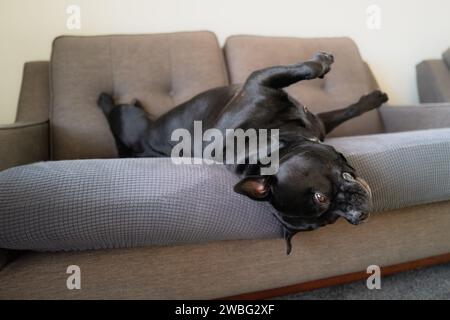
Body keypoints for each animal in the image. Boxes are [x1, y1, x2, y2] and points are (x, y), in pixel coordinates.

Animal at [97, 52, 386, 254]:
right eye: (322, 201)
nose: (358, 215)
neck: (270, 142)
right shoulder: (260, 80)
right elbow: (308, 68)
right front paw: (323, 61)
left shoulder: (307, 114)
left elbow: (347, 110)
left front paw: (374, 99)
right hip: (130, 122)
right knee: (114, 113)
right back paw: (104, 99)